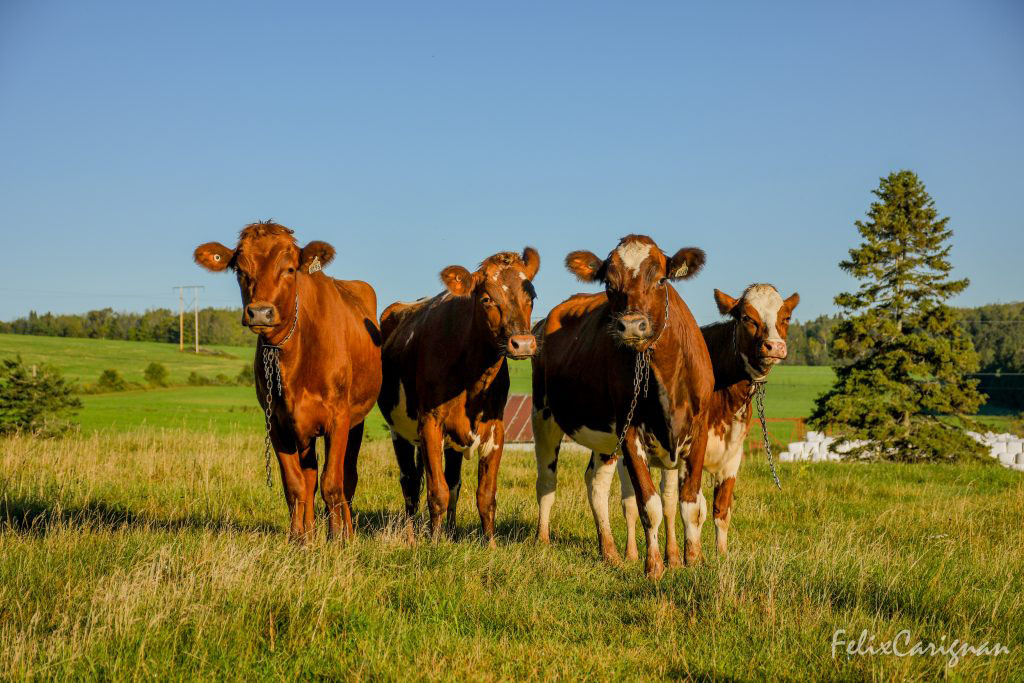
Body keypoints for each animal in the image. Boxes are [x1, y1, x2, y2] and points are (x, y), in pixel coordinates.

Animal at [193, 224, 382, 544]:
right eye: (240, 270)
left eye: (290, 269)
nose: (260, 312)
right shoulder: (277, 422)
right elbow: (295, 485)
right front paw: (298, 538)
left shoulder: (339, 418)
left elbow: (333, 482)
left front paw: (337, 538)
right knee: (310, 476)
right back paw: (311, 530)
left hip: (356, 421)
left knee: (347, 477)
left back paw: (346, 530)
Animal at [374, 248, 536, 548]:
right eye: (486, 299)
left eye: (532, 296)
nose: (523, 344)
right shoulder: (429, 424)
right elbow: (437, 492)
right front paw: (435, 544)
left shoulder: (496, 430)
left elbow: (485, 495)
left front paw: (490, 545)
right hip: (399, 431)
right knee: (410, 483)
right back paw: (413, 536)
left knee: (453, 482)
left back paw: (450, 532)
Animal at [614, 282, 798, 561]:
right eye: (747, 318)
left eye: (785, 317)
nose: (774, 347)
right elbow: (696, 508)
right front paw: (697, 557)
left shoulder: (732, 455)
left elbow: (721, 509)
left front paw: (720, 556)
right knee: (627, 501)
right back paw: (631, 554)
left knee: (667, 499)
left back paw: (671, 555)